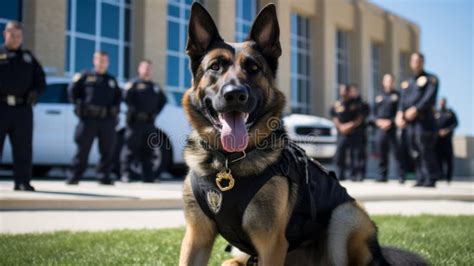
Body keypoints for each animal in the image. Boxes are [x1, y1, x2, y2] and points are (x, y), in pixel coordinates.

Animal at [180, 3, 428, 264]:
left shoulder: (271, 244)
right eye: (215, 67)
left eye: (253, 68)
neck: (227, 162)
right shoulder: (196, 237)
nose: (235, 94)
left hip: (344, 216)